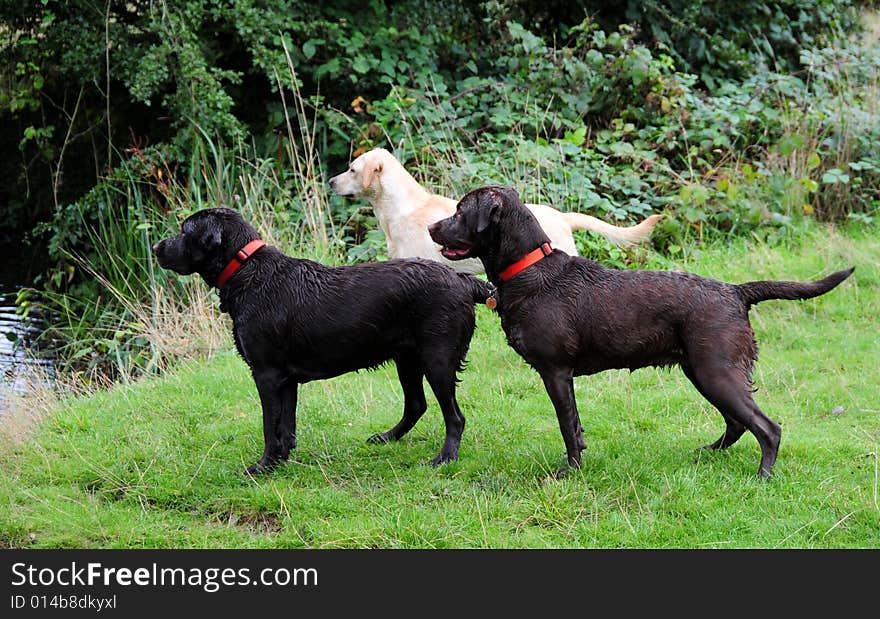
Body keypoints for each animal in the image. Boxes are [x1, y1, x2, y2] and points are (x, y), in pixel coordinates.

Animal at [155, 208, 492, 474]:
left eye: (184, 231)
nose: (158, 246)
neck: (248, 271)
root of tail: (463, 281)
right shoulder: (286, 379)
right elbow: (285, 425)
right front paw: (281, 460)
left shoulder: (266, 374)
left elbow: (269, 425)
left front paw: (262, 467)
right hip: (407, 359)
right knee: (416, 405)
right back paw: (387, 437)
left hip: (438, 359)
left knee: (455, 416)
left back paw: (445, 458)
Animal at [430, 185, 856, 480]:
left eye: (460, 211)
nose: (432, 226)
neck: (530, 270)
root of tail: (736, 291)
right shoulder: (563, 377)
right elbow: (577, 426)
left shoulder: (556, 372)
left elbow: (567, 427)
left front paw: (570, 473)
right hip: (703, 372)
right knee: (738, 423)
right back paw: (708, 453)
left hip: (716, 371)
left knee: (768, 428)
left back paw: (763, 477)